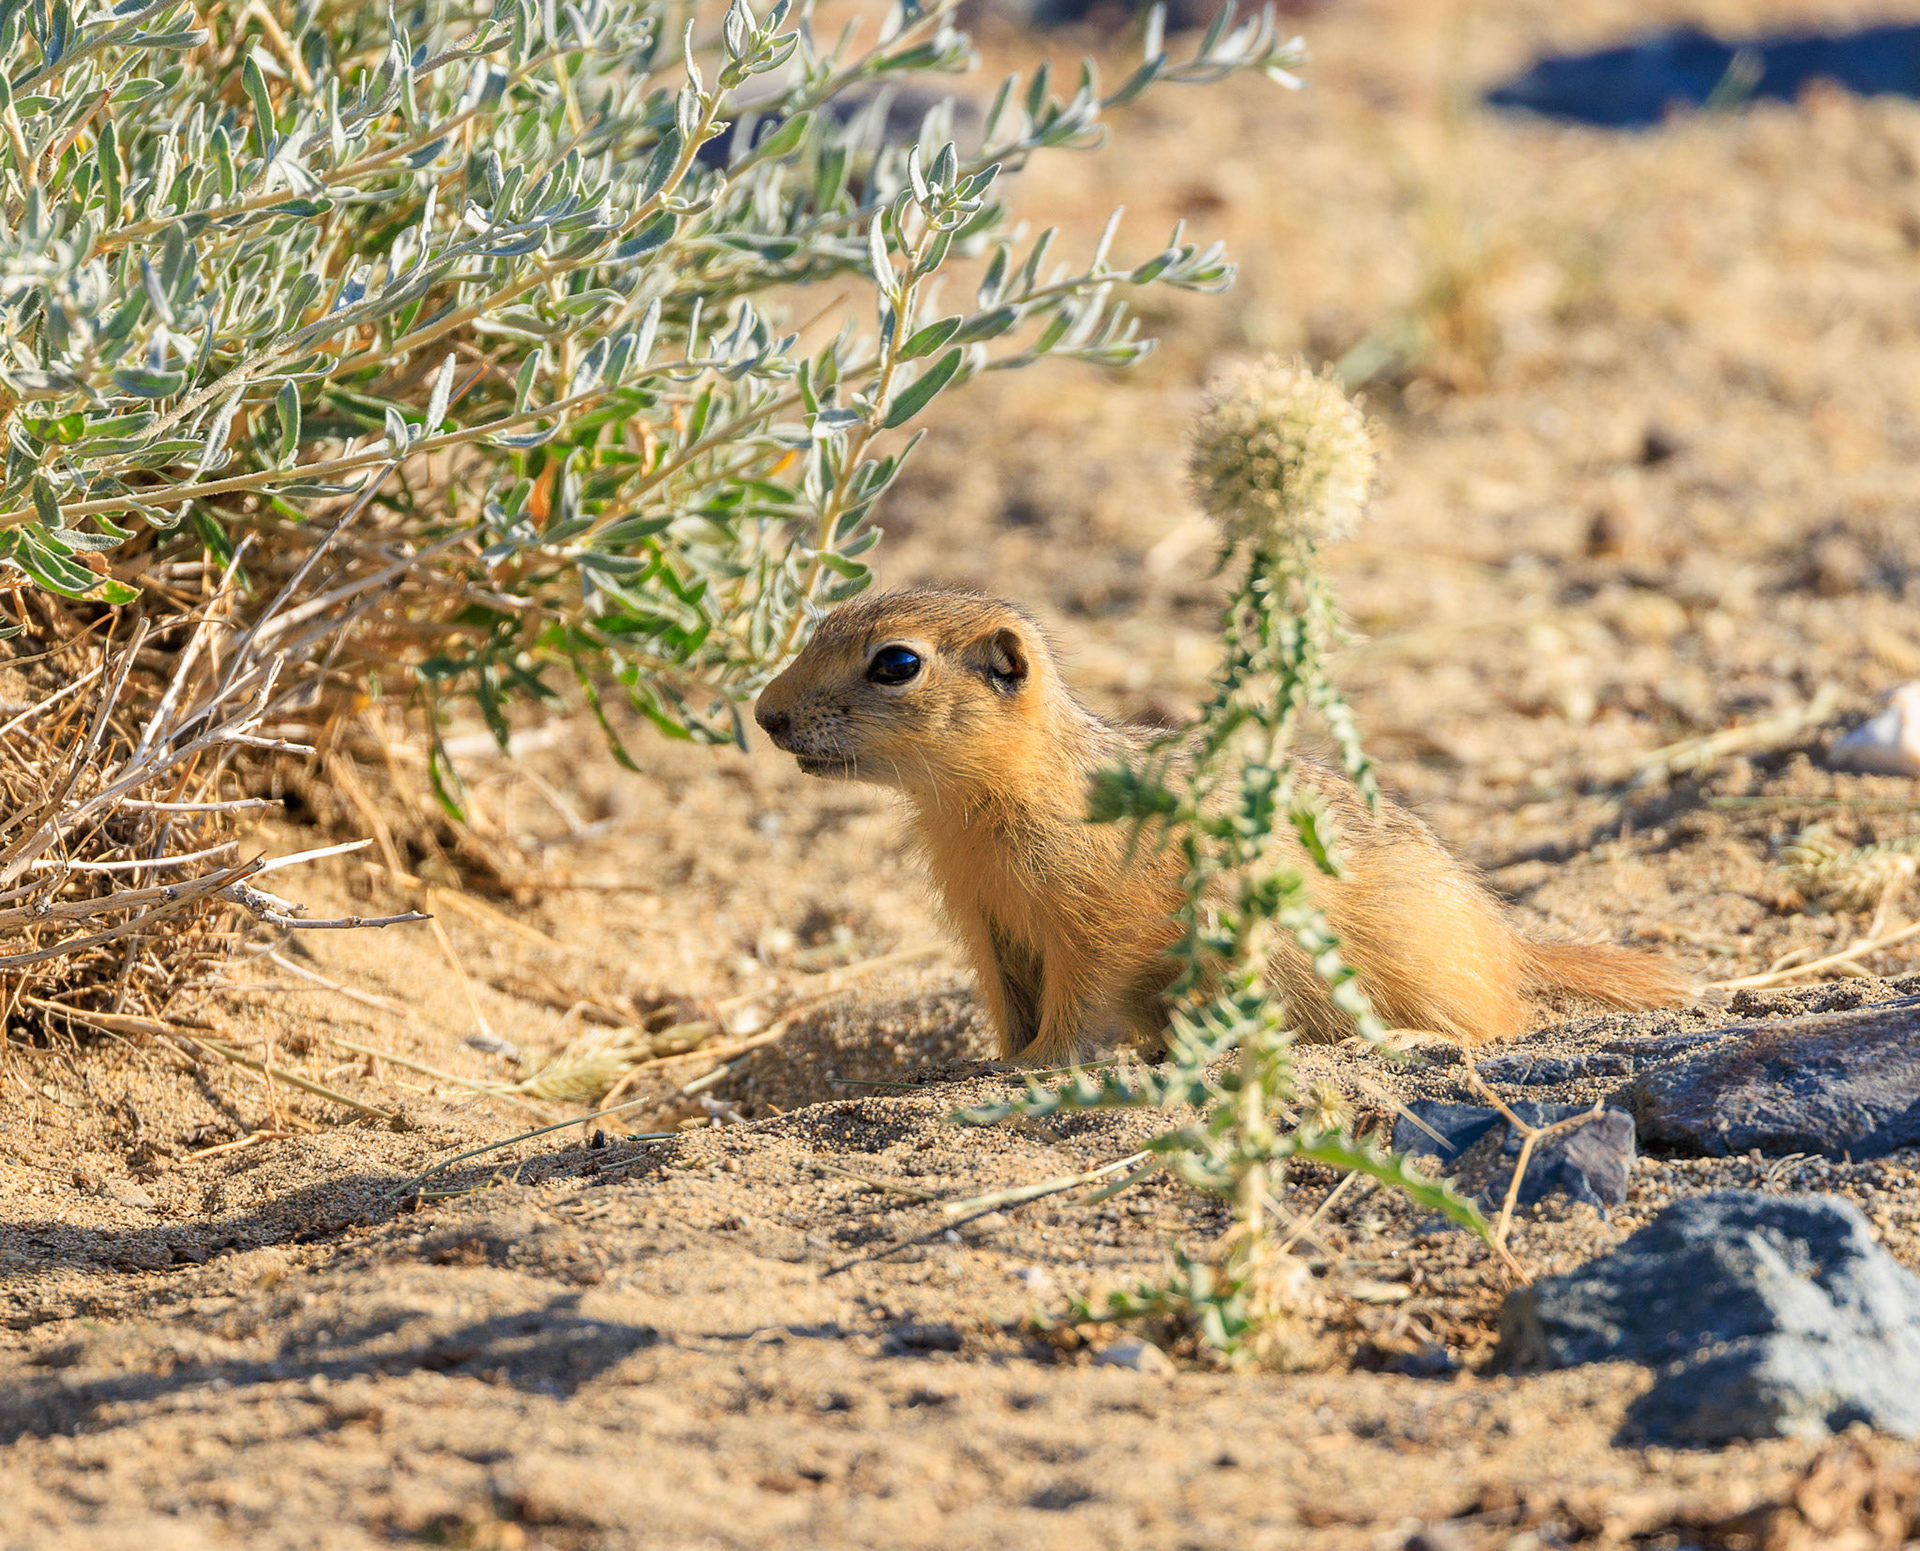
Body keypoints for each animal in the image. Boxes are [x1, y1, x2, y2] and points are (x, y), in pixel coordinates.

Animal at [753, 586, 1689, 1067]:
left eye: (897, 662)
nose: (765, 715)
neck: (990, 799)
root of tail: (1509, 938)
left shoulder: (1100, 923)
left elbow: (1078, 1004)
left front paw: (1043, 1066)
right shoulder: (991, 929)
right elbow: (1009, 1006)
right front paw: (994, 1062)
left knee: (1501, 1021)